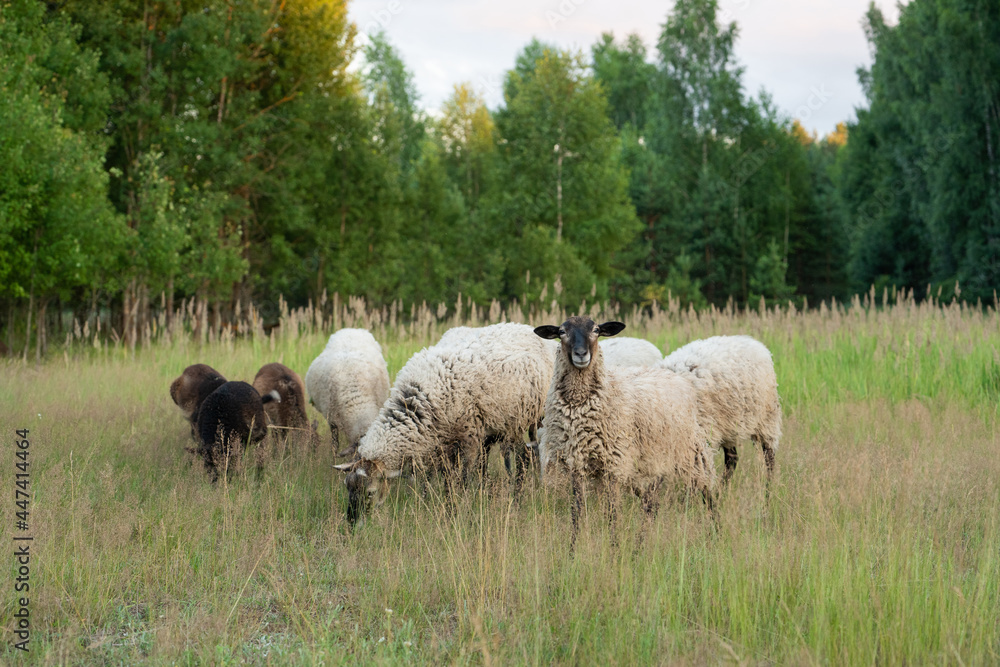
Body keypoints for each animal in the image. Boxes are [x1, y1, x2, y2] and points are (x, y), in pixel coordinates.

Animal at [334, 322, 556, 526]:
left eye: (370, 492)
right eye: (347, 487)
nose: (353, 525)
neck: (417, 405)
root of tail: (524, 325)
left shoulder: (467, 439)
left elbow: (461, 480)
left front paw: (456, 510)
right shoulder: (440, 443)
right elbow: (438, 478)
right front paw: (429, 504)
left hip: (528, 419)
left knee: (524, 457)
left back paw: (517, 498)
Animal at [534, 316, 716, 547]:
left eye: (596, 330)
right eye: (562, 332)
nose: (581, 354)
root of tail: (673, 376)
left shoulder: (613, 465)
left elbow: (613, 513)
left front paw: (614, 550)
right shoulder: (577, 463)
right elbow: (577, 511)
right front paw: (573, 550)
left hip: (691, 452)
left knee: (708, 493)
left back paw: (717, 534)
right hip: (650, 463)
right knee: (650, 503)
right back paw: (640, 546)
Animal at [660, 335, 781, 482]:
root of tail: (752, 342)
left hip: (767, 419)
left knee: (768, 457)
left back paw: (768, 487)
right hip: (729, 426)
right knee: (732, 459)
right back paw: (723, 486)